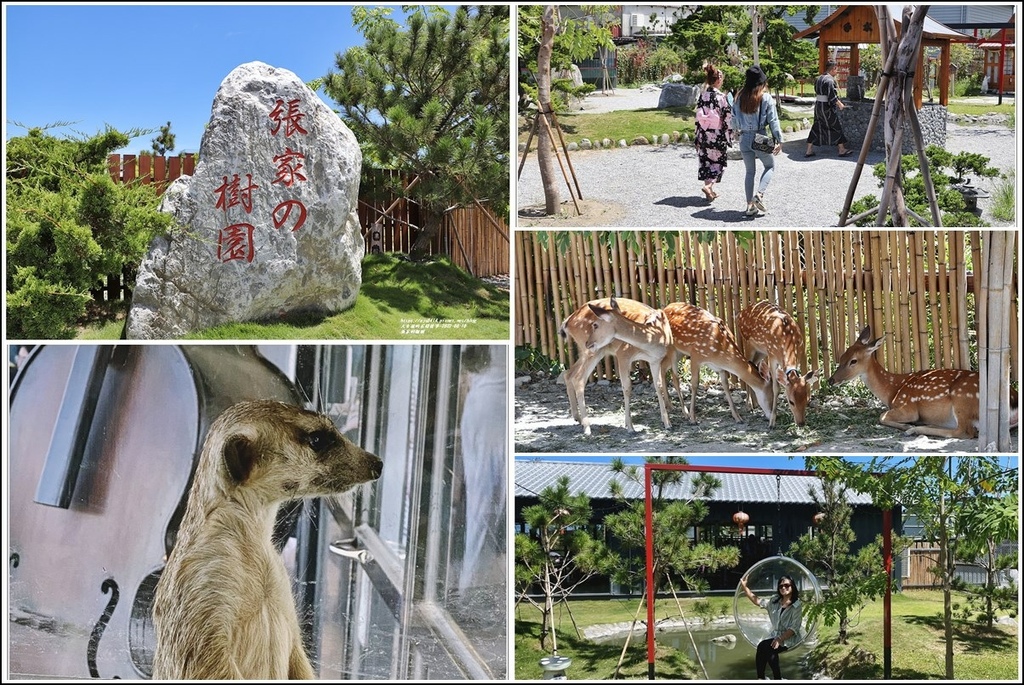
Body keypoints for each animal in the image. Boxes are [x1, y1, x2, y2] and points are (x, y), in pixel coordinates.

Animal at [561, 296, 671, 436]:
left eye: (595, 325)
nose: (588, 342)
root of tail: (567, 322)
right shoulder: (623, 355)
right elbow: (627, 387)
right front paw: (630, 427)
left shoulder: (655, 360)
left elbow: (659, 386)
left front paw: (667, 423)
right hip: (593, 351)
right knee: (578, 378)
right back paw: (587, 427)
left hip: (590, 351)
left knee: (569, 374)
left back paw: (578, 418)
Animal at [827, 325, 1019, 438]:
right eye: (842, 356)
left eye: (853, 361)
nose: (831, 380)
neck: (892, 389)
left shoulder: (908, 407)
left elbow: (882, 416)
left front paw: (905, 426)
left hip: (962, 399)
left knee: (964, 431)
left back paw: (913, 429)